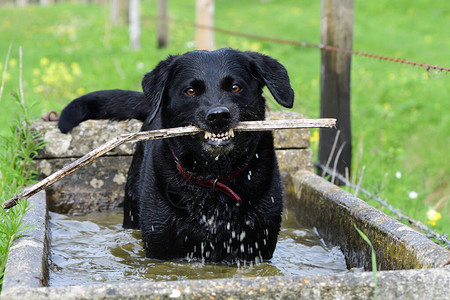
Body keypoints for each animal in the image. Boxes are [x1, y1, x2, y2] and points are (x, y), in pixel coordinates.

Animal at [58, 48, 294, 262]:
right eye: (190, 91)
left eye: (235, 87)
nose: (218, 116)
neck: (213, 177)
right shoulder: (160, 247)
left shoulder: (257, 246)